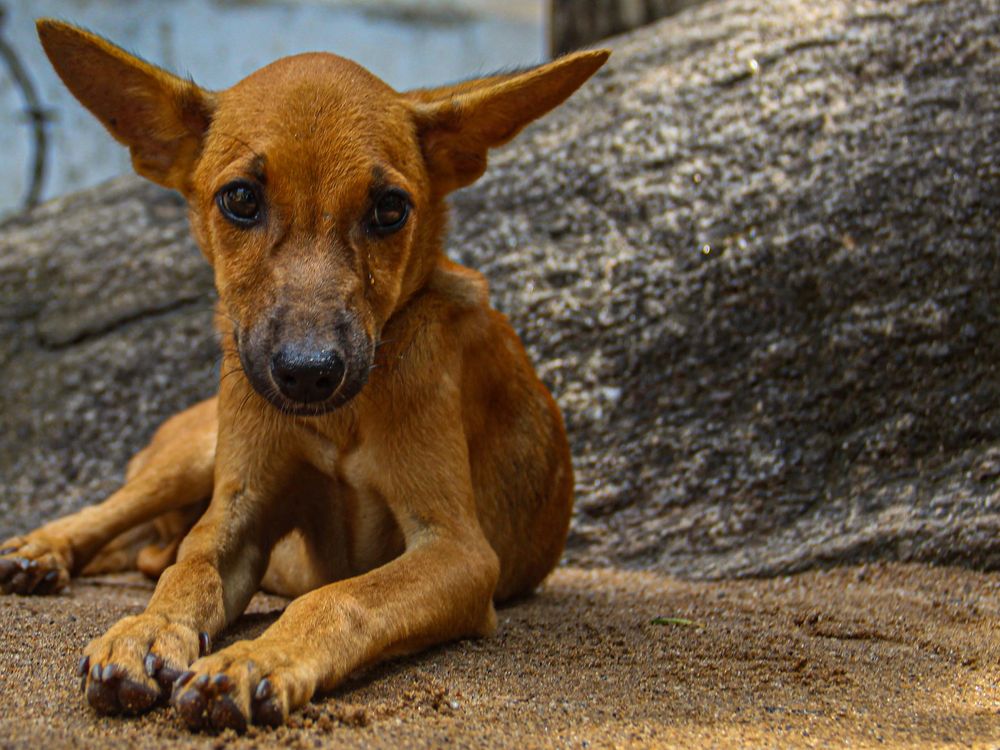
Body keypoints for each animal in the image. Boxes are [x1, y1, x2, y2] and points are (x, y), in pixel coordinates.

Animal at [0, 19, 608, 736]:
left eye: (390, 209)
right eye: (240, 198)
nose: (307, 375)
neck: (338, 422)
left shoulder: (457, 550)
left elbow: (342, 597)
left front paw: (256, 660)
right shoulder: (239, 508)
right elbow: (191, 567)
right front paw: (147, 630)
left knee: (153, 553)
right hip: (195, 454)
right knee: (119, 521)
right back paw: (39, 551)